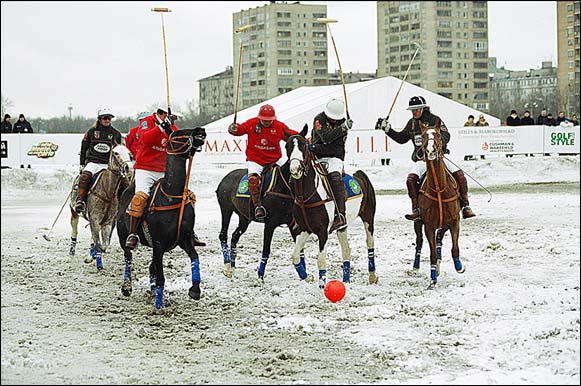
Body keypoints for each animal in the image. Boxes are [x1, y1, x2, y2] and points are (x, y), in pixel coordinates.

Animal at [67, 142, 133, 272]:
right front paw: (98, 265)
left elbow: (104, 245)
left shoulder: (107, 222)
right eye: (116, 153)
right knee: (75, 229)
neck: (108, 191)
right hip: (74, 211)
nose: (129, 167)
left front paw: (90, 257)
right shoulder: (95, 219)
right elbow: (98, 244)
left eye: (129, 153)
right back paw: (72, 250)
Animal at [116, 127, 207, 310]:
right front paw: (159, 305)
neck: (172, 195)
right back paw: (127, 287)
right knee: (128, 257)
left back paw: (151, 291)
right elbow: (161, 277)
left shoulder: (185, 239)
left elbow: (195, 257)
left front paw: (195, 289)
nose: (201, 130)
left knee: (152, 267)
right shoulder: (159, 243)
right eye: (179, 134)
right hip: (123, 236)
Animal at [215, 126, 310, 280]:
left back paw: (233, 265)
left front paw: (304, 274)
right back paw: (228, 267)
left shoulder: (292, 224)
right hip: (226, 210)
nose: (295, 168)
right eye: (287, 146)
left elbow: (299, 248)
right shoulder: (270, 224)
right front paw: (260, 275)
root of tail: (224, 179)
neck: (285, 187)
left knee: (235, 235)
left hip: (244, 217)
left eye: (304, 144)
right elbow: (266, 249)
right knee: (223, 235)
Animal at [284, 132, 376, 286]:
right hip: (342, 225)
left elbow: (321, 260)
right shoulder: (305, 228)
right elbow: (295, 255)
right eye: (287, 146)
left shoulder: (323, 231)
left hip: (368, 217)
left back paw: (372, 277)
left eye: (304, 146)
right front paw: (306, 277)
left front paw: (322, 285)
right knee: (346, 249)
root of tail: (360, 174)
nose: (295, 169)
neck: (307, 196)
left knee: (369, 242)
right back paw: (346, 280)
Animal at [414, 122, 464, 288]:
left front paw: (459, 266)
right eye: (423, 136)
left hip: (445, 223)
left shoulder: (454, 221)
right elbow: (432, 254)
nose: (430, 150)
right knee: (419, 242)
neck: (438, 189)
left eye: (437, 135)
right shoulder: (429, 226)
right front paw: (432, 279)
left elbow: (454, 247)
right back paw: (416, 266)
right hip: (418, 222)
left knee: (439, 239)